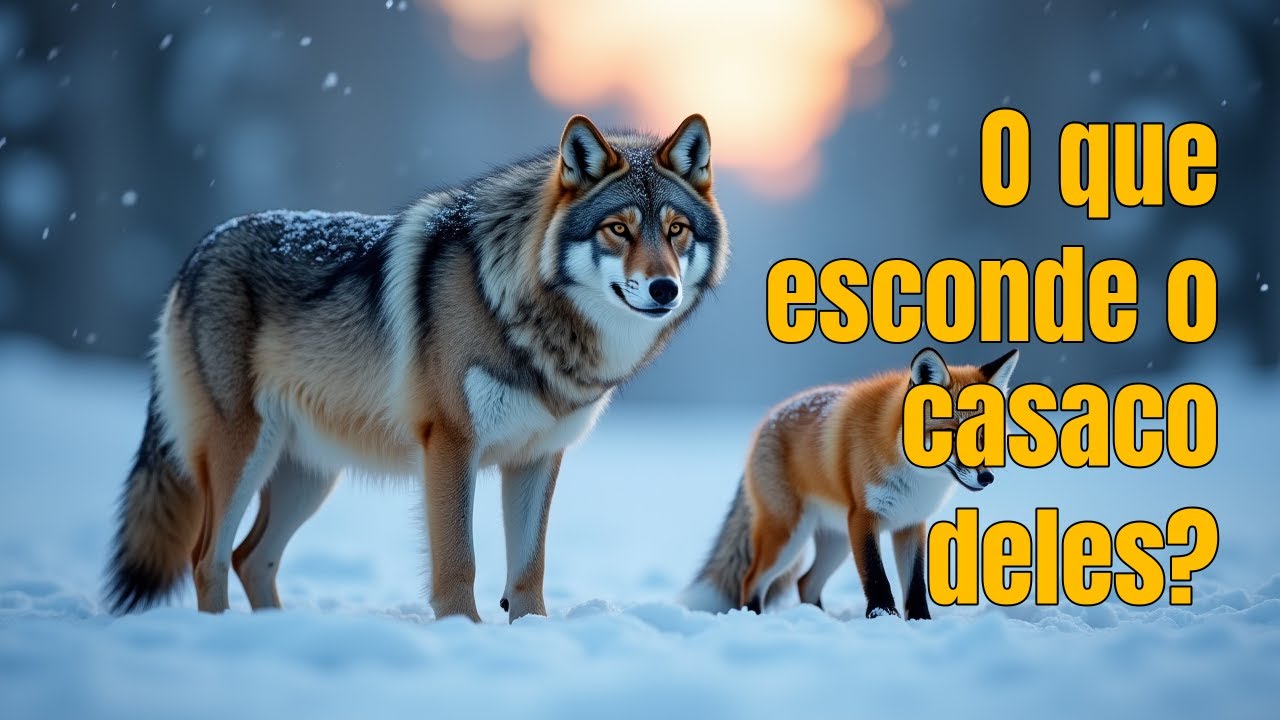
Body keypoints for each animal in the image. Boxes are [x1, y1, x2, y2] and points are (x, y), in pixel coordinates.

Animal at [106, 114, 729, 622]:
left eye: (675, 229)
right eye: (618, 229)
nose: (664, 288)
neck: (527, 317)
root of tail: (199, 251)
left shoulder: (538, 457)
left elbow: (529, 571)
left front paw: (532, 633)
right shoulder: (450, 442)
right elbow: (459, 562)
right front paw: (464, 632)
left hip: (309, 476)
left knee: (249, 558)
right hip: (244, 454)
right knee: (205, 558)